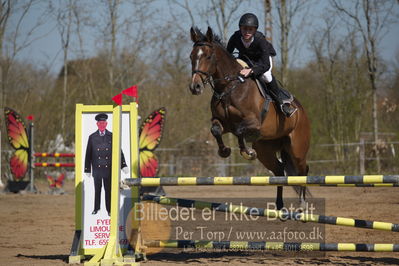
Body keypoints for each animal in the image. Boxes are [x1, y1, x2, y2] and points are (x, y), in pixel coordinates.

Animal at [189, 27, 310, 210]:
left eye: (208, 57)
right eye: (191, 56)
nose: (195, 87)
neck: (229, 87)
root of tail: (301, 111)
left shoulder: (254, 123)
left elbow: (240, 130)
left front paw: (246, 152)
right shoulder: (222, 123)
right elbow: (216, 129)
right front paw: (224, 151)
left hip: (297, 148)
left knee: (303, 171)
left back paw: (302, 205)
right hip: (265, 150)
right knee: (279, 170)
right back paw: (279, 205)